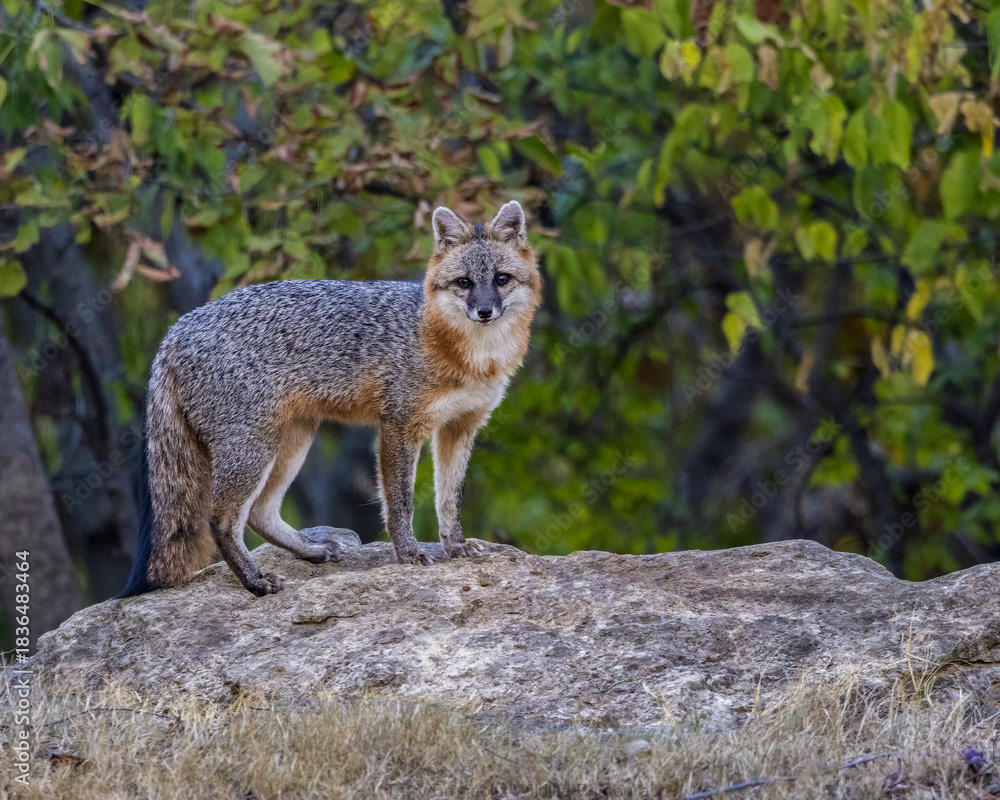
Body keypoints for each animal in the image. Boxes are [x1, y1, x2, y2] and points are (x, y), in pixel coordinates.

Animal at [119, 201, 541, 598]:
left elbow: (450, 499)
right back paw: (255, 582)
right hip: (254, 449)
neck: (469, 357)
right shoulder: (400, 425)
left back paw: (309, 551)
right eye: (464, 282)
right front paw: (408, 554)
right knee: (221, 520)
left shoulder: (461, 427)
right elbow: (400, 502)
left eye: (501, 279)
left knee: (259, 513)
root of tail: (175, 329)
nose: (484, 311)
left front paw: (456, 547)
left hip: (293, 440)